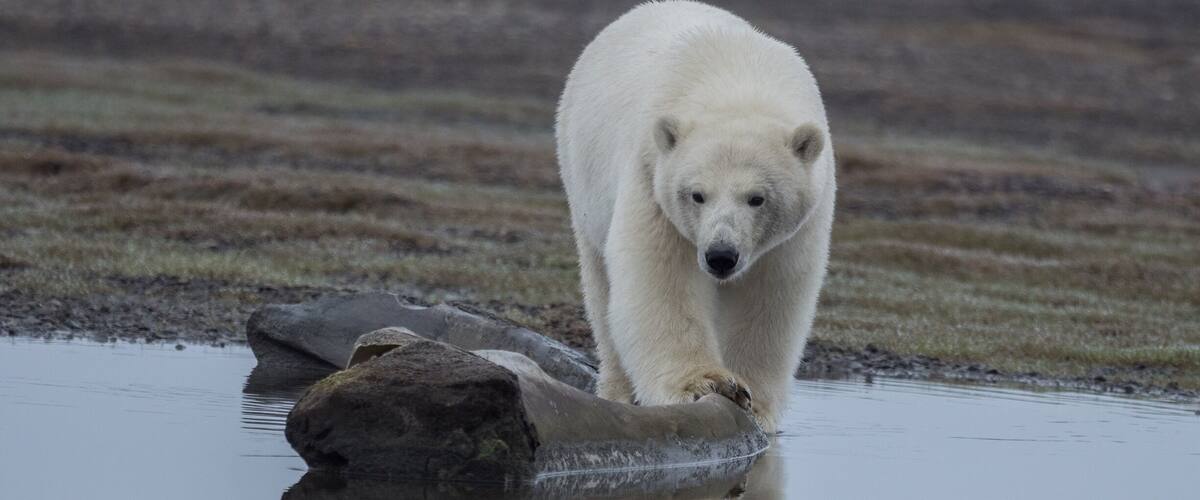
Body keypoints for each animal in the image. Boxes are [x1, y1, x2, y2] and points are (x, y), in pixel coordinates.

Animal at [555, 0, 835, 433]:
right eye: (697, 195)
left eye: (757, 198)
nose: (720, 256)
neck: (738, 81)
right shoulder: (652, 173)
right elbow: (660, 276)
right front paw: (707, 384)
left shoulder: (801, 224)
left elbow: (771, 292)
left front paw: (756, 404)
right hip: (581, 172)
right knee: (602, 289)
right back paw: (618, 390)